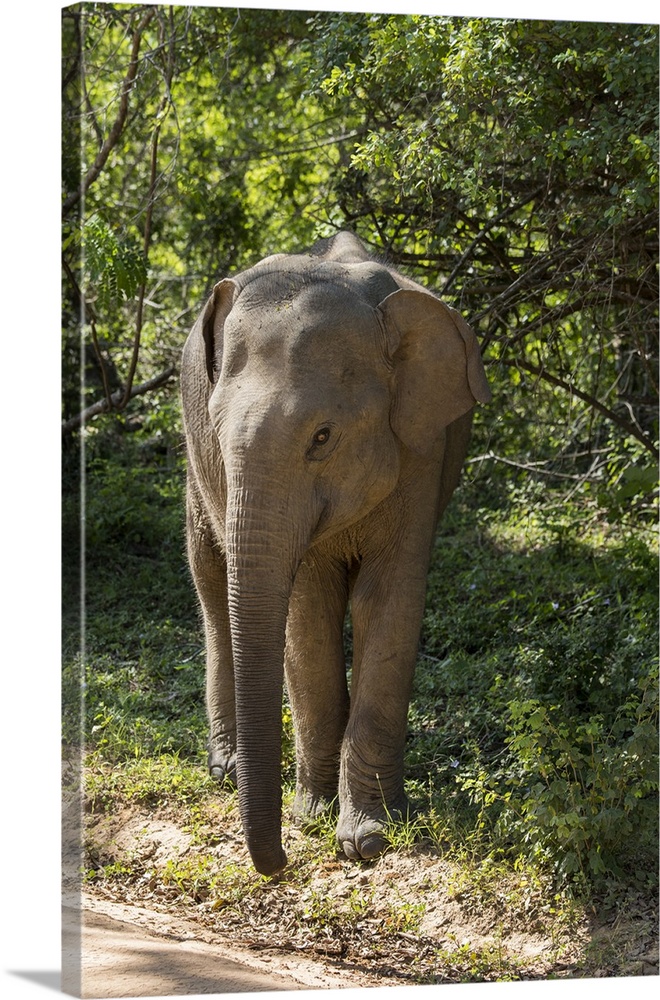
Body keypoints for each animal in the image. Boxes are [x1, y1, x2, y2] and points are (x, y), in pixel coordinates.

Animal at [180, 230, 490, 872]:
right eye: (220, 437)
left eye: (322, 437)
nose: (280, 863)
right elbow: (308, 609)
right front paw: (314, 816)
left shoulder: (420, 447)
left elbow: (388, 601)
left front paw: (368, 837)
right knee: (209, 577)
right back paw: (225, 768)